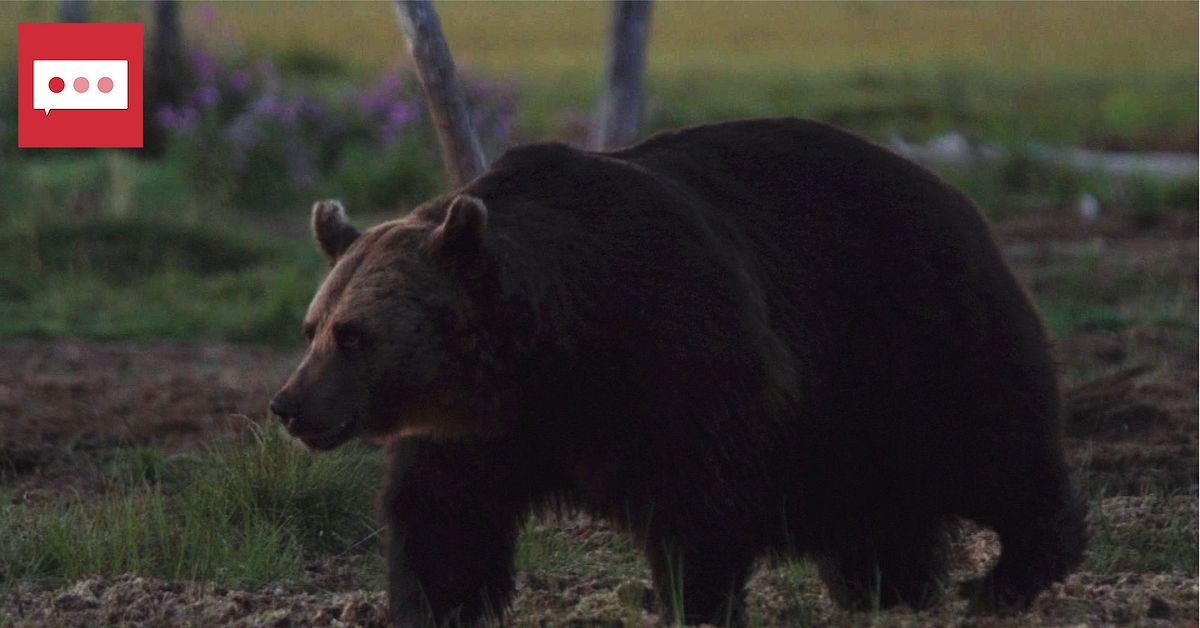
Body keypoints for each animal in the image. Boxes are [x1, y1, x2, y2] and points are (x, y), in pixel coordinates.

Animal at [270, 118, 1086, 626]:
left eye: (353, 335)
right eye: (312, 327)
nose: (289, 404)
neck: (546, 360)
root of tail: (952, 192)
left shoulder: (673, 353)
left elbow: (699, 503)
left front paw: (695, 600)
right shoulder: (475, 430)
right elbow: (442, 519)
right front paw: (432, 604)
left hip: (914, 331)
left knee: (994, 445)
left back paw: (1007, 575)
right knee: (878, 500)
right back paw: (882, 584)